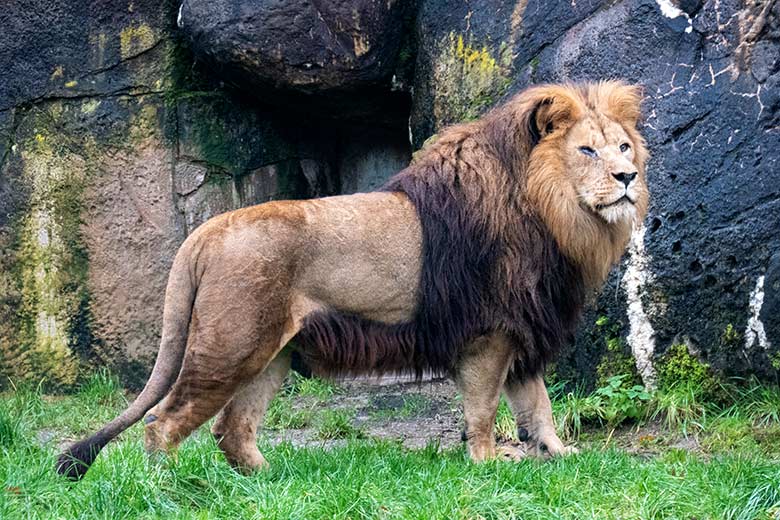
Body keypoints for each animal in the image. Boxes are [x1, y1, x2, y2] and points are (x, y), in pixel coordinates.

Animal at [58, 80, 648, 480]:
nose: (629, 177)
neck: (554, 216)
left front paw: (562, 456)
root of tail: (205, 230)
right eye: (586, 150)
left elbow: (537, 404)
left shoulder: (523, 328)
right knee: (164, 422)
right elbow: (483, 409)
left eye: (622, 146)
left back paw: (273, 482)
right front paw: (486, 464)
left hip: (271, 354)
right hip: (229, 347)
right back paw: (171, 485)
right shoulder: (489, 332)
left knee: (232, 429)